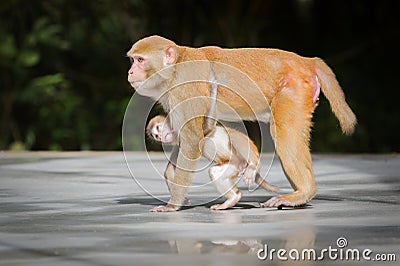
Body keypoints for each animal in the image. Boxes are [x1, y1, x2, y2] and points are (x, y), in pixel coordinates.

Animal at [146, 79, 278, 210]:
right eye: (155, 136)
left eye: (158, 128)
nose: (159, 137)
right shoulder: (180, 143)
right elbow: (171, 170)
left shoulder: (185, 126)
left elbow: (208, 127)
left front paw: (213, 90)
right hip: (236, 165)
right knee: (215, 172)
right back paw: (233, 199)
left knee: (232, 136)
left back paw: (253, 165)